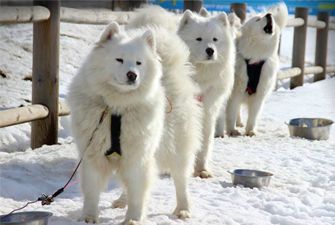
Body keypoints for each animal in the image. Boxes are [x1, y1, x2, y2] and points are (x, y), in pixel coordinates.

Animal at [67, 20, 201, 224]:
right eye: (119, 60)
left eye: (139, 63)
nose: (132, 75)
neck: (117, 109)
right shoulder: (93, 155)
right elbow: (91, 191)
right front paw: (89, 217)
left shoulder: (138, 158)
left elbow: (138, 194)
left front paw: (133, 219)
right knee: (125, 184)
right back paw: (122, 201)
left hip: (177, 148)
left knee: (180, 181)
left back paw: (183, 210)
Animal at [224, 3, 290, 136]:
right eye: (258, 19)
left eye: (271, 18)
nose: (269, 15)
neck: (255, 57)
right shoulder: (235, 91)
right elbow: (231, 112)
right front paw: (232, 130)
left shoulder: (259, 93)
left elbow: (253, 116)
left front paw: (250, 131)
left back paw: (240, 123)